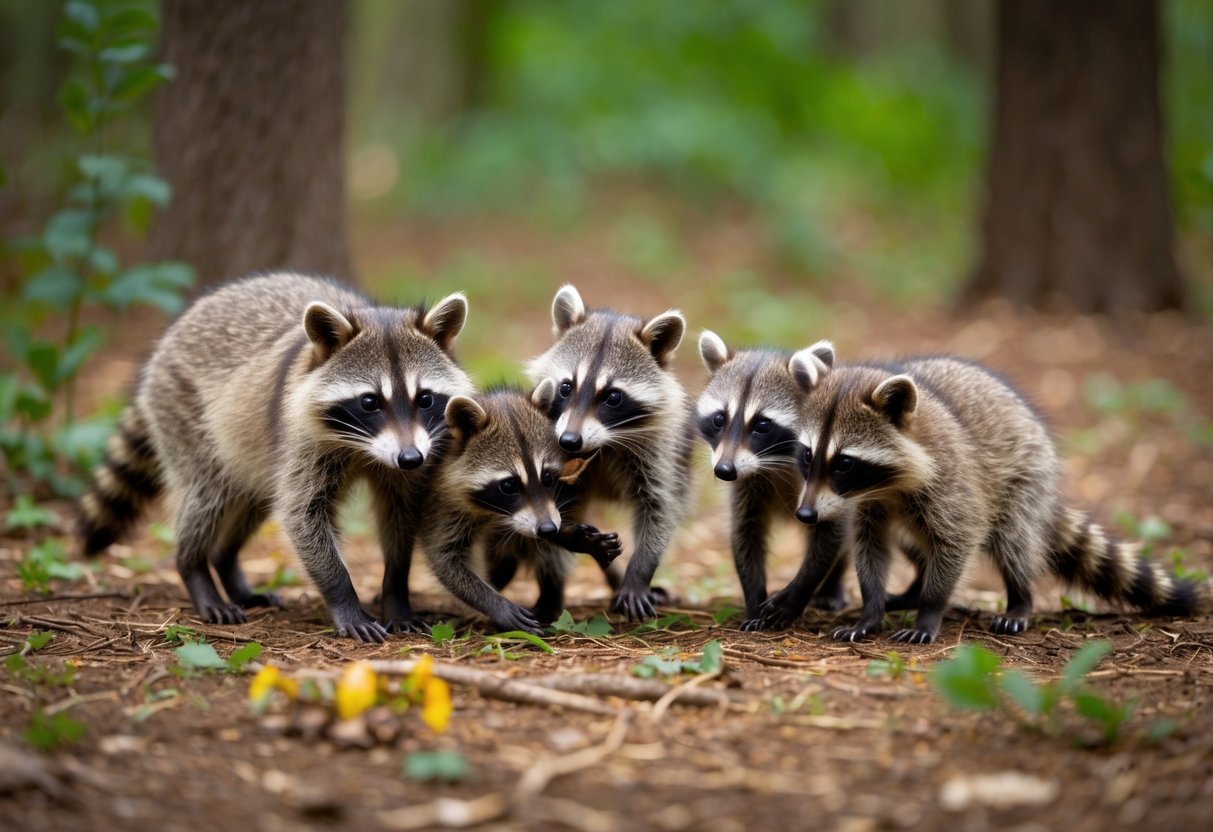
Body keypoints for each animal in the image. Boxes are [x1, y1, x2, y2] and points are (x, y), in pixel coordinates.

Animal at [78, 273, 474, 642]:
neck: (363, 449)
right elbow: (302, 514)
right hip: (184, 412)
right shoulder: (302, 441)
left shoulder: (410, 457)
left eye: (425, 399)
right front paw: (343, 597)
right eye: (369, 402)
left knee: (253, 498)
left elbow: (400, 514)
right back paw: (194, 567)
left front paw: (395, 591)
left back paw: (225, 563)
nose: (410, 458)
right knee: (206, 496)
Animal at [421, 385, 623, 634]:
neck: (493, 513)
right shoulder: (442, 504)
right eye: (509, 485)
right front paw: (494, 603)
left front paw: (569, 536)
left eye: (548, 478)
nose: (548, 529)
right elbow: (444, 556)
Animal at [525, 285, 695, 621]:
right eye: (566, 387)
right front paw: (573, 543)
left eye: (613, 397)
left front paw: (639, 573)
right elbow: (543, 511)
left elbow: (660, 508)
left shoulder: (660, 450)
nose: (569, 440)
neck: (600, 445)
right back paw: (553, 589)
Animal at [695, 332, 849, 628]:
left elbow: (831, 535)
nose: (724, 471)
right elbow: (745, 531)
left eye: (762, 425)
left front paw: (798, 593)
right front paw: (754, 599)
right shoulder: (747, 484)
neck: (775, 461)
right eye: (720, 419)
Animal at [757, 355, 1205, 642]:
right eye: (807, 455)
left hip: (1025, 480)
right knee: (913, 541)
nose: (805, 514)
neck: (886, 485)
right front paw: (872, 609)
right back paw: (915, 586)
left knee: (1014, 542)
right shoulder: (869, 504)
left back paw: (1020, 598)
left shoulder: (952, 483)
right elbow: (871, 546)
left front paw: (931, 609)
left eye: (845, 463)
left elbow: (959, 539)